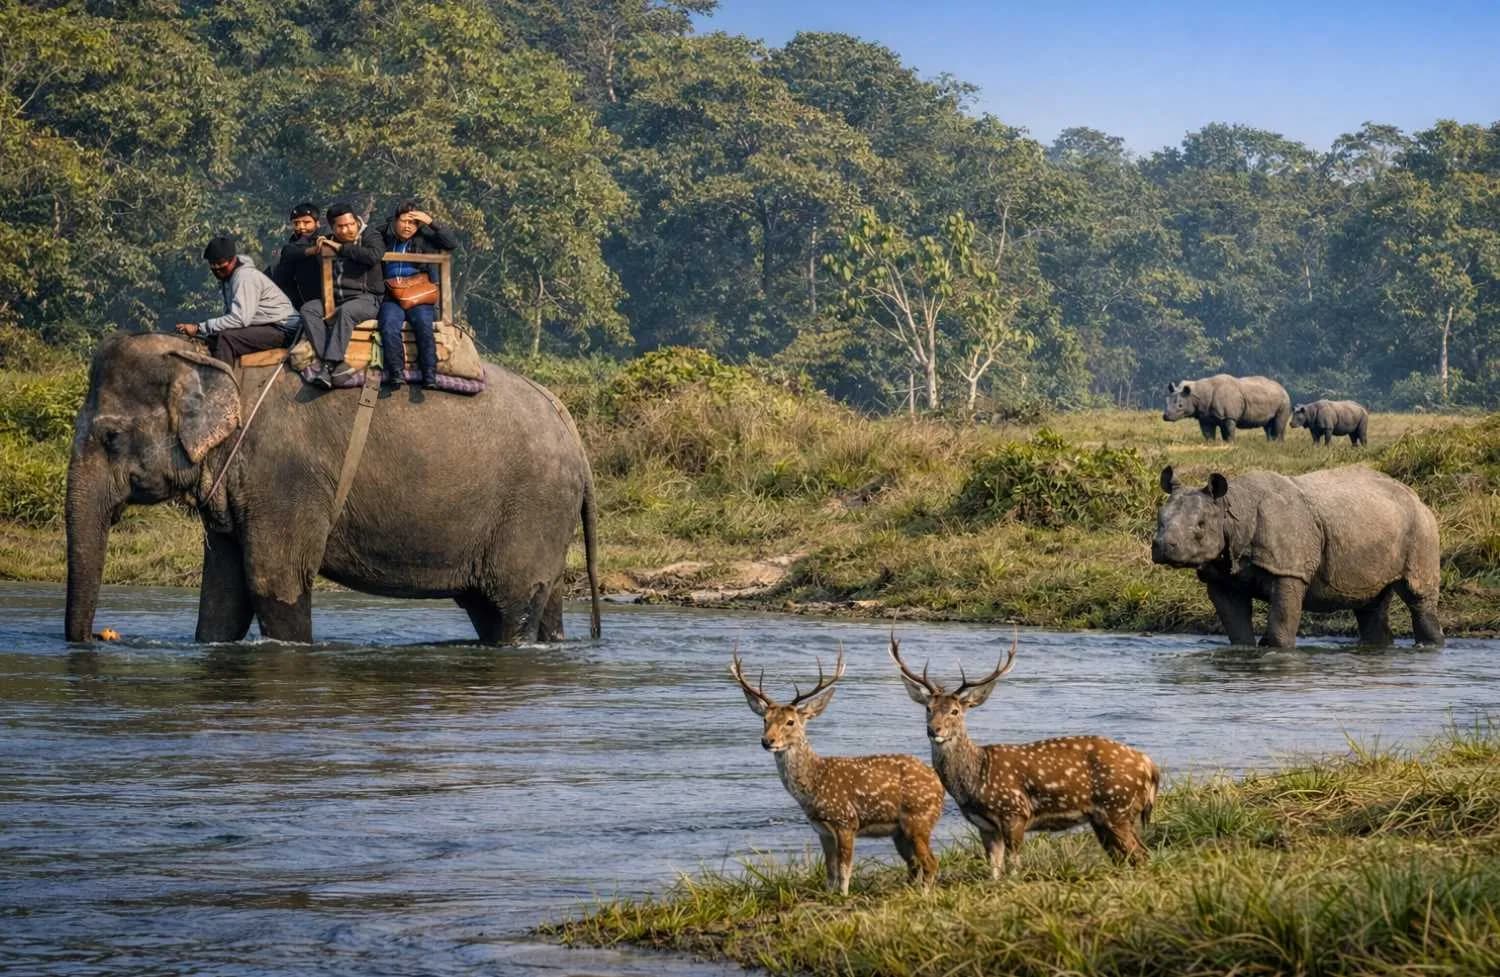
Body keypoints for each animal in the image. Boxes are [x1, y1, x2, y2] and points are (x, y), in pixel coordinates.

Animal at [65, 333, 600, 645]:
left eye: (110, 437)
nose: (96, 638)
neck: (216, 362)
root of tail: (574, 432)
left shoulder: (282, 475)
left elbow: (273, 579)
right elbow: (223, 594)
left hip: (532, 509)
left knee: (509, 606)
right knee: (534, 604)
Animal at [729, 646, 946, 895]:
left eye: (791, 721)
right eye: (765, 719)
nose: (767, 740)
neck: (813, 785)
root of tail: (939, 784)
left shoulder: (846, 821)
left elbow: (844, 869)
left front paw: (843, 896)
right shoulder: (822, 829)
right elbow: (830, 871)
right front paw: (829, 894)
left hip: (918, 819)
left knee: (931, 862)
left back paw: (924, 895)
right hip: (900, 832)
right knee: (915, 864)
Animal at [888, 632, 1159, 878]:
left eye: (955, 711)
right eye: (928, 708)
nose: (934, 729)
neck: (974, 781)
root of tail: (1150, 765)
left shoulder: (1014, 811)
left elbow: (1014, 865)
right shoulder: (985, 826)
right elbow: (994, 871)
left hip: (1117, 806)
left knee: (1141, 854)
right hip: (1106, 817)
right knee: (1130, 855)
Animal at [1150, 465, 1442, 648]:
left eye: (1200, 525)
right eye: (1159, 519)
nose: (1162, 546)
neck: (1232, 509)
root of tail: (1414, 494)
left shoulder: (1289, 570)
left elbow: (1280, 624)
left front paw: (1276, 650)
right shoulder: (1221, 576)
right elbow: (1237, 631)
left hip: (1421, 526)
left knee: (1417, 596)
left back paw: (1429, 645)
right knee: (1370, 603)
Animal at [1163, 375, 1291, 441]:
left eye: (1180, 405)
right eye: (1166, 402)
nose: (1165, 416)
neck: (1197, 393)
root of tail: (1282, 387)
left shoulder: (1229, 416)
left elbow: (1228, 432)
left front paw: (1230, 444)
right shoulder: (1205, 416)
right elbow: (1208, 433)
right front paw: (1211, 444)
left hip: (1284, 400)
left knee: (1277, 424)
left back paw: (1276, 445)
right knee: (1268, 425)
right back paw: (1272, 444)